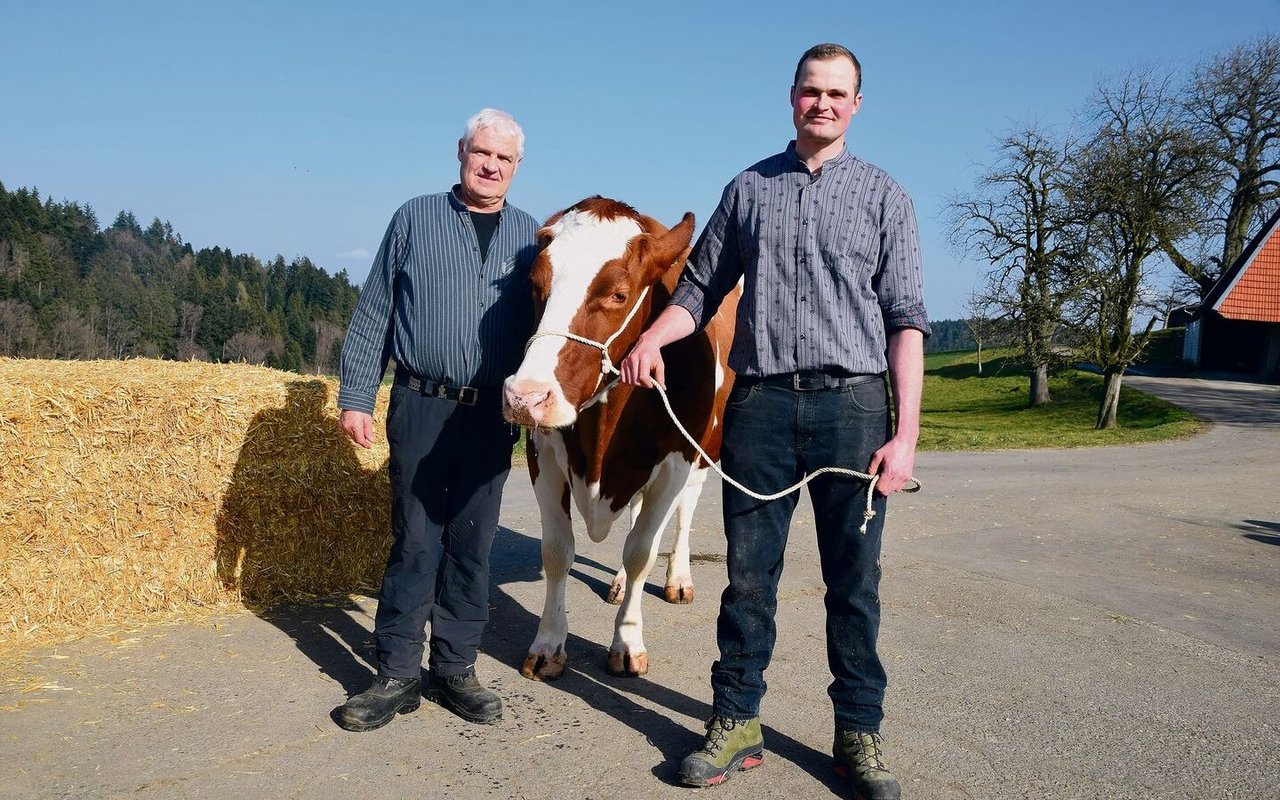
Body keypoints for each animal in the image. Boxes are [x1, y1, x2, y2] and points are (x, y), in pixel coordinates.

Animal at [501, 198, 742, 680]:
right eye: (535, 285)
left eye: (618, 294)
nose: (525, 397)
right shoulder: (543, 454)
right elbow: (557, 552)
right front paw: (548, 645)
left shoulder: (674, 462)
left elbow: (641, 553)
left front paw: (628, 642)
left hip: (705, 449)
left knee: (684, 509)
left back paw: (678, 578)